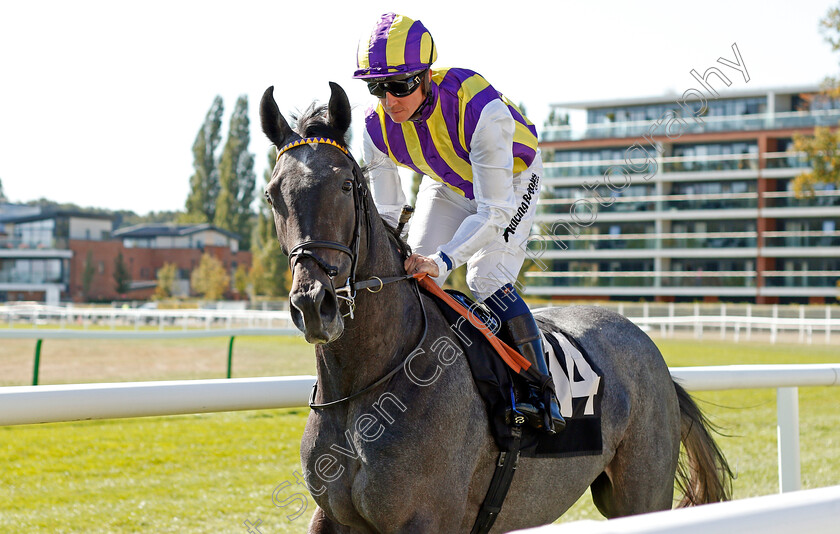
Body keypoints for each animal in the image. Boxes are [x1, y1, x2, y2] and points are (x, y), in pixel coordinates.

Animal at [260, 80, 732, 534]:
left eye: (344, 185)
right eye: (271, 194)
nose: (314, 303)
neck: (365, 385)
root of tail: (648, 346)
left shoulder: (426, 519)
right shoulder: (331, 517)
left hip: (642, 494)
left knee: (490, 271)